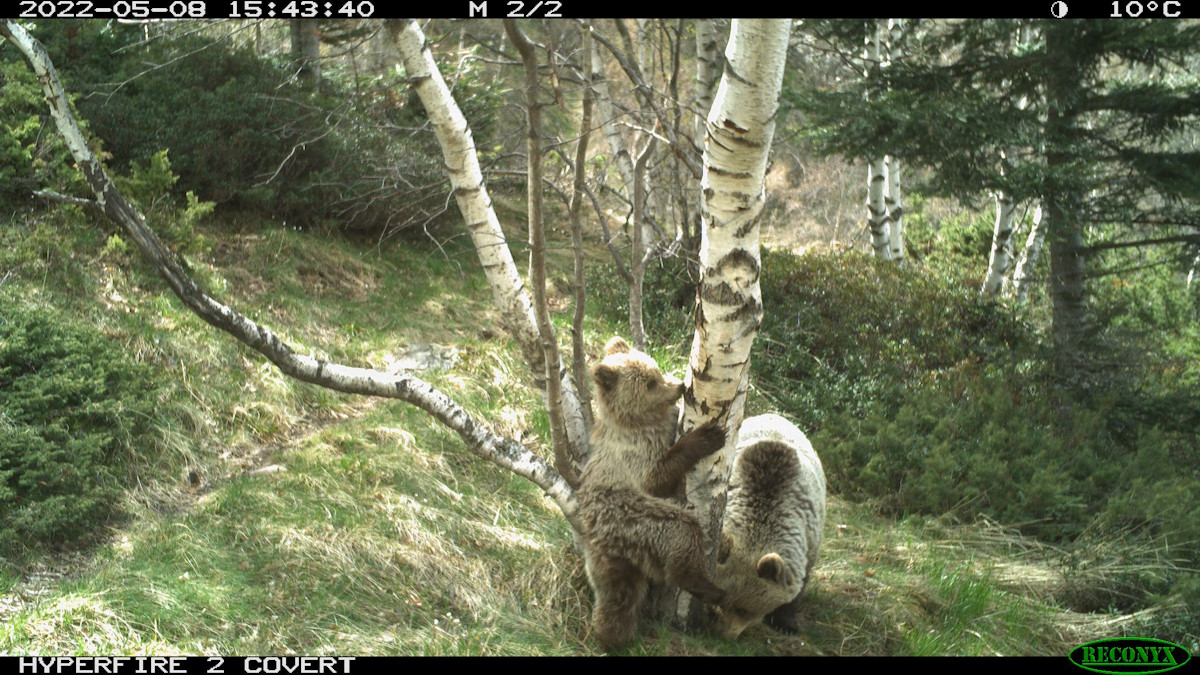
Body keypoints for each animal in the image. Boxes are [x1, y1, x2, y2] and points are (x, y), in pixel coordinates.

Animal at [578, 333, 724, 648]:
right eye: (649, 383)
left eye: (655, 370)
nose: (679, 385)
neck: (639, 422)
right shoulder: (634, 456)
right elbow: (658, 476)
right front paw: (708, 435)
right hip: (633, 517)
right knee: (682, 530)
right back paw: (710, 588)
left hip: (615, 552)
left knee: (619, 592)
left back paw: (611, 635)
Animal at [710, 410, 825, 634]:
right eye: (720, 600)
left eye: (744, 610)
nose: (721, 633)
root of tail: (774, 414)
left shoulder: (809, 538)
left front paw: (786, 622)